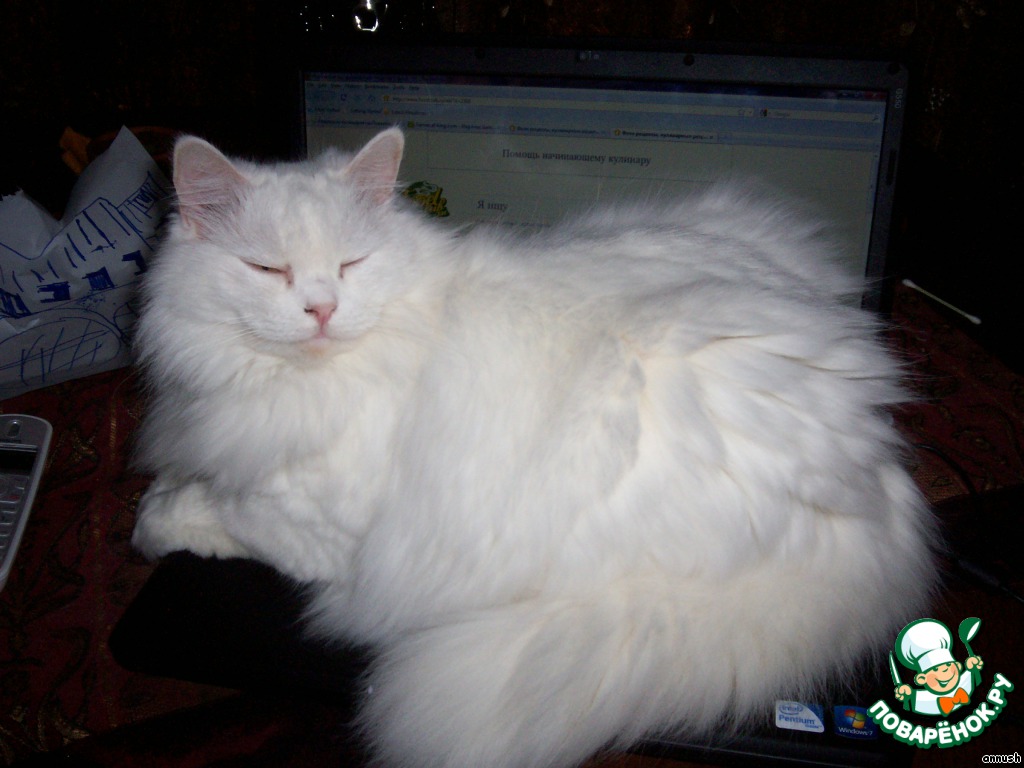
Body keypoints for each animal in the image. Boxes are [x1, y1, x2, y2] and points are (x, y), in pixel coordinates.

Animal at [132, 127, 937, 768]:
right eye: (267, 269)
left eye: (352, 264)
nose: (322, 309)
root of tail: (885, 483)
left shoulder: (324, 534)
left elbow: (217, 511)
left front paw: (155, 520)